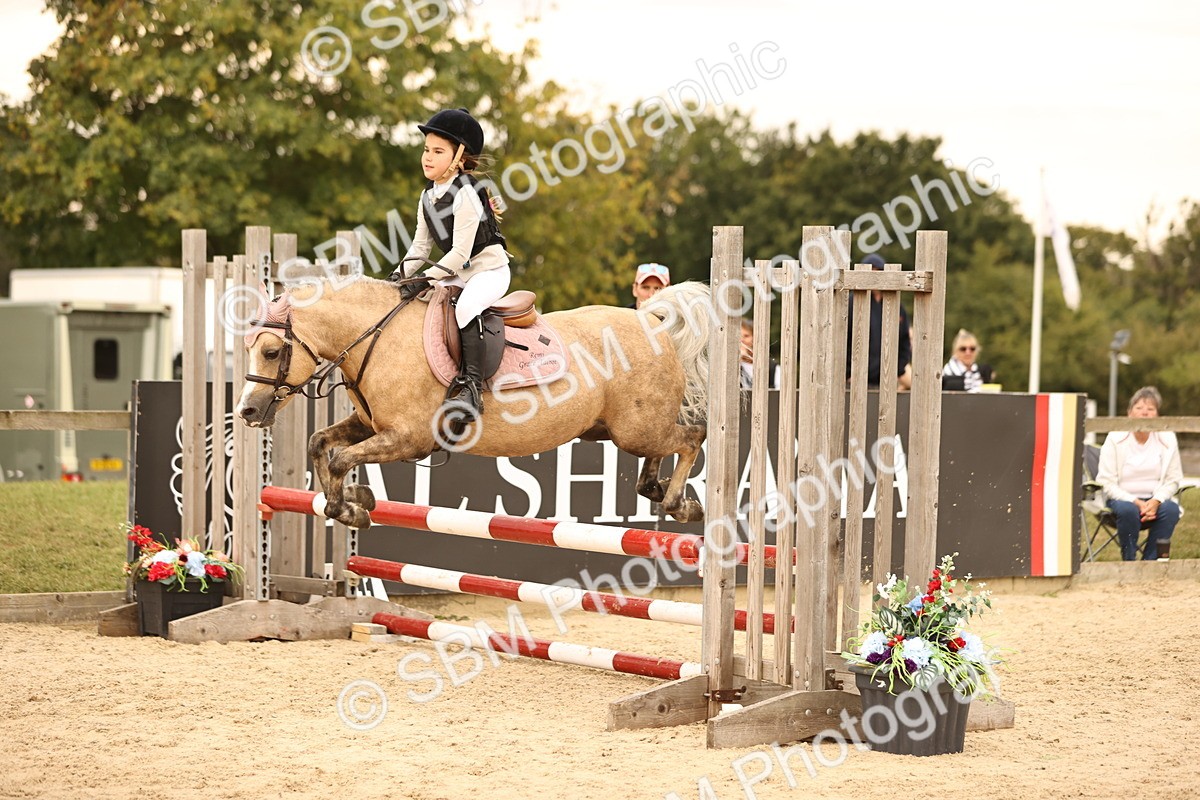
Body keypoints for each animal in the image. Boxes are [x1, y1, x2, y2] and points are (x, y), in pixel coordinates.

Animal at [234, 277, 713, 529]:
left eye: (272, 352)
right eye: (249, 348)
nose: (248, 412)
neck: (377, 337)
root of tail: (652, 321)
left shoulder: (408, 439)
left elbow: (338, 460)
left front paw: (348, 509)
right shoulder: (372, 427)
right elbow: (321, 444)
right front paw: (357, 499)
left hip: (636, 428)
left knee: (693, 435)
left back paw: (679, 503)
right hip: (622, 429)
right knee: (661, 453)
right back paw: (657, 488)